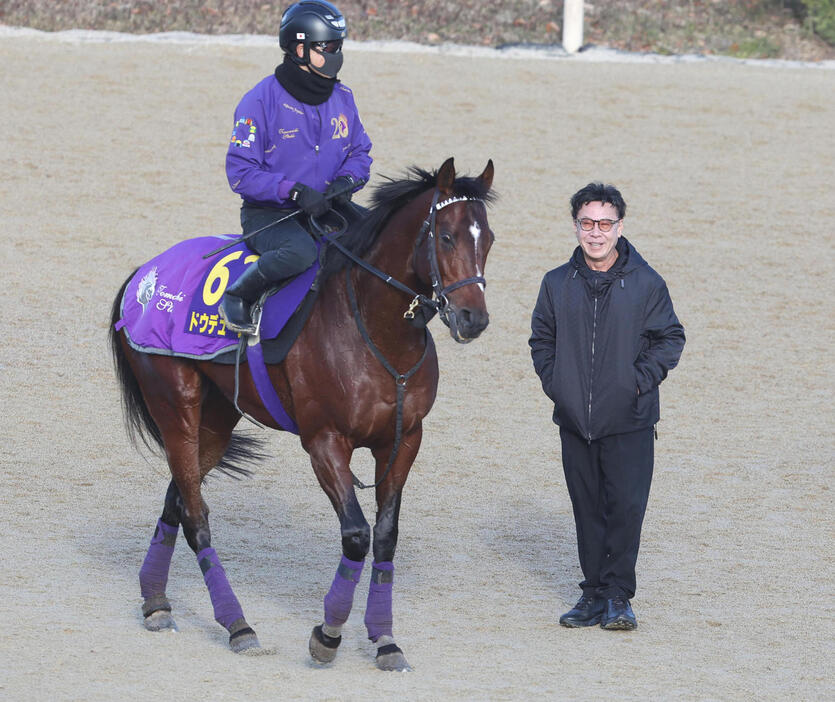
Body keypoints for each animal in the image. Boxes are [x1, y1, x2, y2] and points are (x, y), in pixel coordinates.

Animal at [107, 157, 494, 672]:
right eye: (446, 236)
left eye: (488, 238)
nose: (474, 319)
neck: (374, 330)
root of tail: (144, 274)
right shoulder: (325, 442)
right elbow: (356, 534)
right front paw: (328, 634)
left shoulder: (404, 439)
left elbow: (386, 536)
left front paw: (386, 641)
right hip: (176, 405)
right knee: (196, 516)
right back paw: (238, 626)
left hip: (215, 421)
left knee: (177, 501)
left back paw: (155, 602)